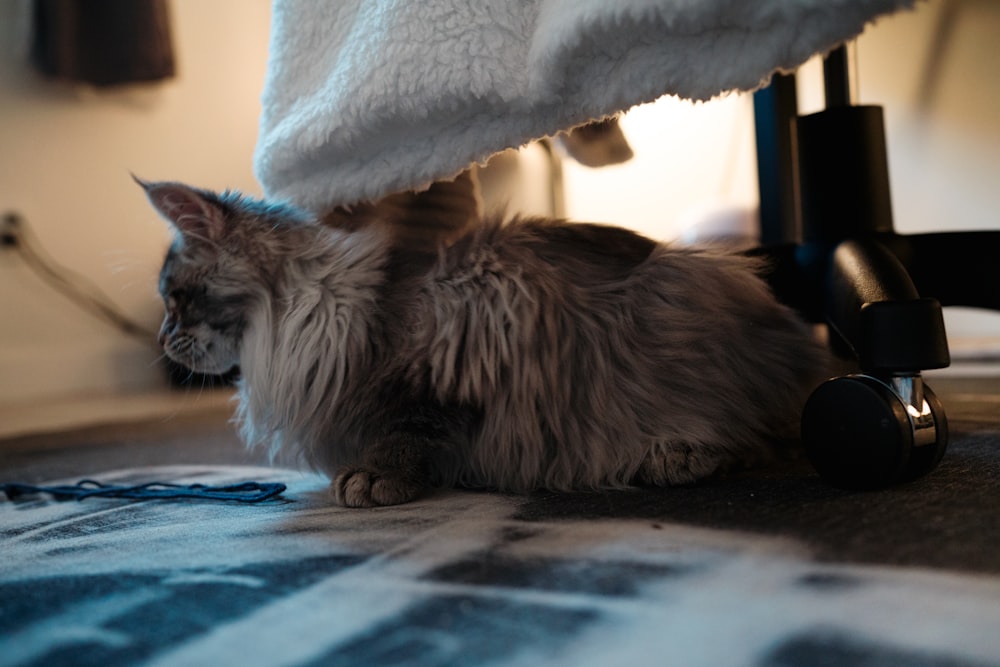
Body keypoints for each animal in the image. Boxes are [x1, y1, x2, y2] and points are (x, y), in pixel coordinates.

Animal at [139, 180, 828, 508]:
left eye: (177, 298)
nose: (164, 339)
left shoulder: (460, 349)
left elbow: (408, 429)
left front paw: (373, 478)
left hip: (683, 297)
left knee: (763, 438)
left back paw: (675, 457)